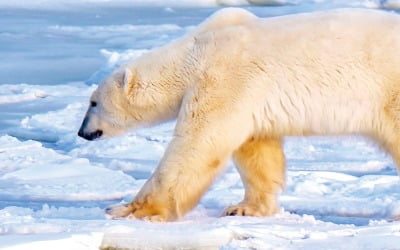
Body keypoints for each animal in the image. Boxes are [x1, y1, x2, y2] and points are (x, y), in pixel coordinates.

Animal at [77, 8, 400, 221]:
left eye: (93, 103)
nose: (82, 132)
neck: (194, 53)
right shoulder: (248, 99)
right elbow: (257, 150)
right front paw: (245, 208)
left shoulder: (224, 79)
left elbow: (196, 147)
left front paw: (126, 209)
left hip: (391, 92)